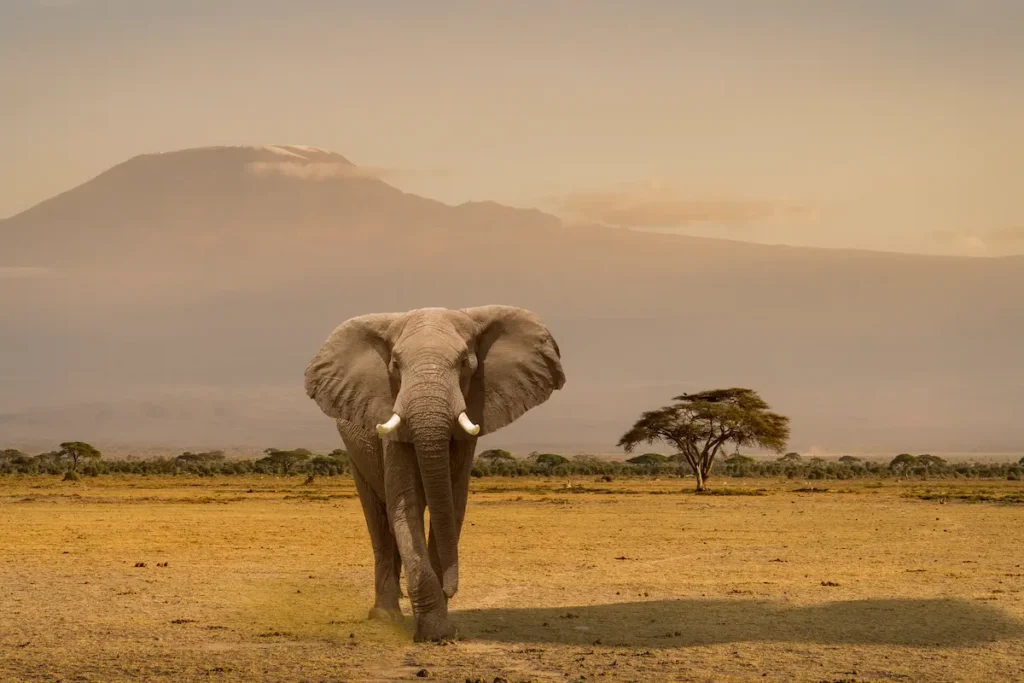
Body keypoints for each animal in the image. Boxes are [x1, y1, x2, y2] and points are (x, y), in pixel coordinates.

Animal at [303, 305, 565, 642]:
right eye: (395, 365)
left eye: (465, 363)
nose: (451, 590)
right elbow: (406, 506)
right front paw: (435, 632)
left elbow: (451, 504)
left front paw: (440, 628)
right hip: (353, 451)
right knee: (379, 521)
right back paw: (386, 616)